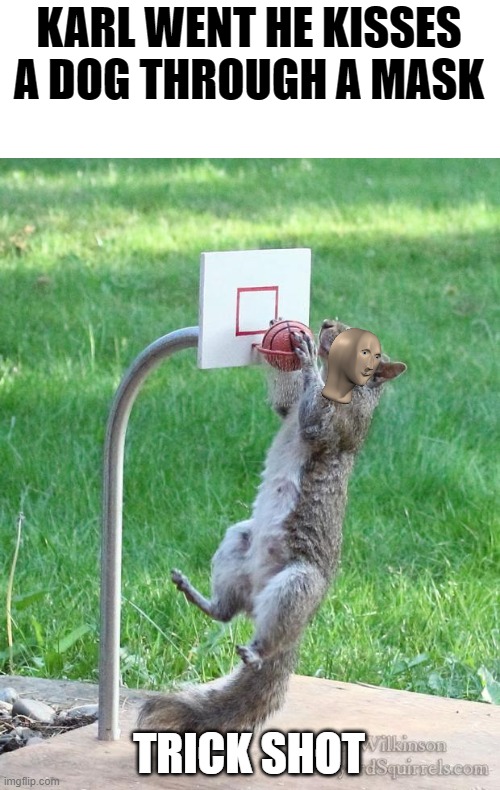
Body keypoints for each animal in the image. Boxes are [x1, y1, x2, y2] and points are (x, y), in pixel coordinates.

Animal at [138, 319, 407, 733]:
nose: (326, 324)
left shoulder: (339, 421)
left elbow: (315, 423)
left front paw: (307, 355)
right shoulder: (290, 408)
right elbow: (285, 405)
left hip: (297, 584)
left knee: (267, 639)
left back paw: (256, 652)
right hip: (238, 542)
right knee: (227, 612)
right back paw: (199, 596)